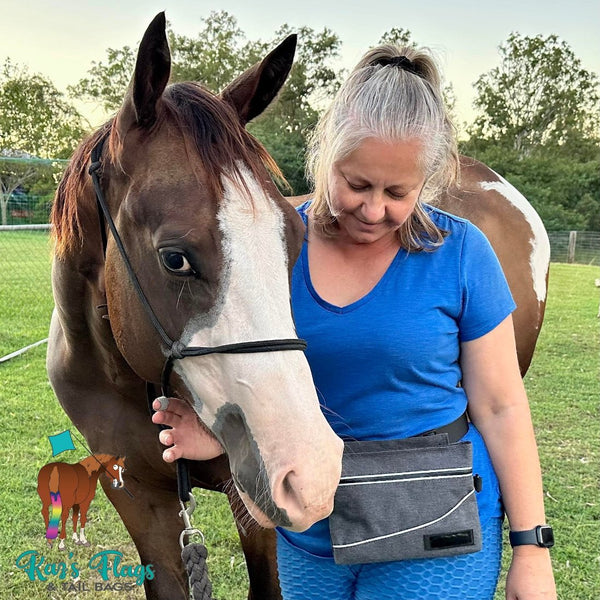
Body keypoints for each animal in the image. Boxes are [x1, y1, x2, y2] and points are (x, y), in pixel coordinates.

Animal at [47, 12, 344, 600]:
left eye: (295, 238)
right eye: (175, 258)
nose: (311, 472)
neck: (125, 377)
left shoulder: (250, 499)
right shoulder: (137, 498)